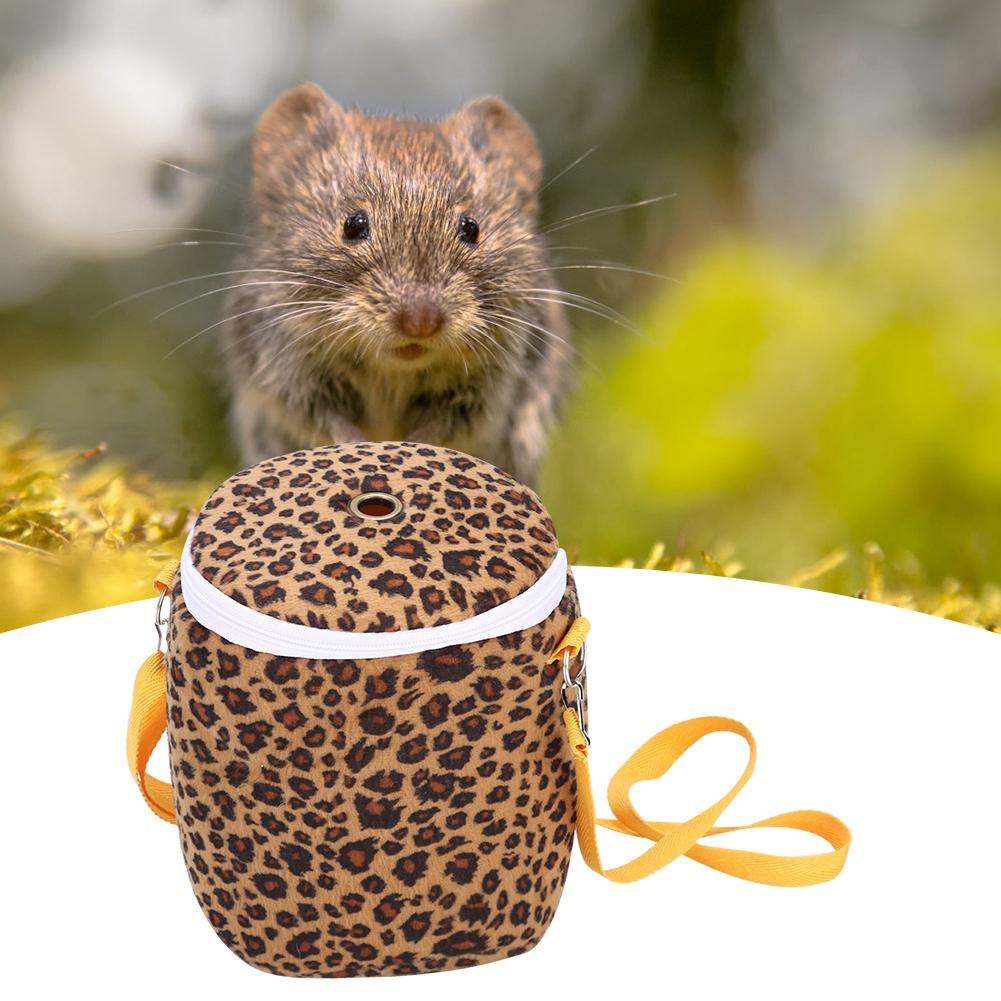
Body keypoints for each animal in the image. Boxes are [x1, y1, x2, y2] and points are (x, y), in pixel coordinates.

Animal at [220, 83, 575, 487]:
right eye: (353, 224)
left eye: (471, 228)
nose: (420, 323)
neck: (394, 368)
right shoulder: (287, 369)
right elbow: (328, 421)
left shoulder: (488, 388)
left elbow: (441, 427)